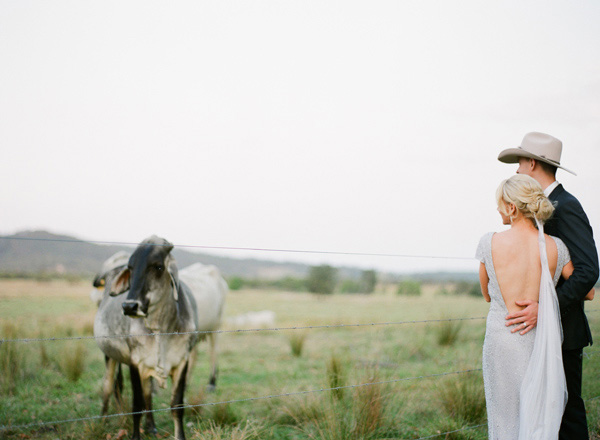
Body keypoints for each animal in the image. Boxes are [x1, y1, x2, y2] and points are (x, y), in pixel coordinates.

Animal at [95, 237, 199, 440]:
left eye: (158, 266)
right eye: (131, 267)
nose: (129, 306)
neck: (162, 328)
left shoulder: (182, 362)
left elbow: (177, 406)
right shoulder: (135, 363)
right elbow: (137, 405)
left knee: (147, 393)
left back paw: (151, 426)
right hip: (110, 356)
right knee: (108, 387)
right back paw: (102, 421)